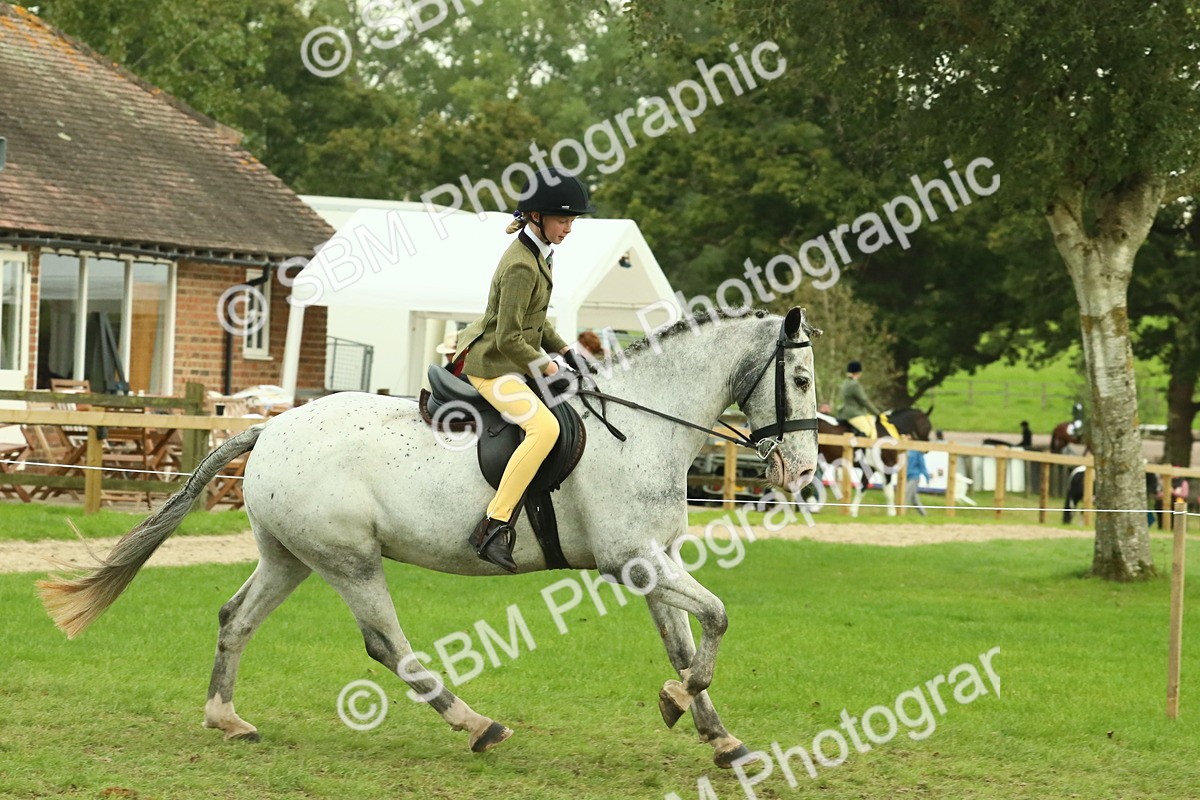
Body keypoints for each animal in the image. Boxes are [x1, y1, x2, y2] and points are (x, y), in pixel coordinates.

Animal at [37, 307, 821, 770]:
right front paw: (676, 703)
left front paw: (715, 732)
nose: (806, 471)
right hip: (350, 561)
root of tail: (271, 429)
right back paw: (477, 725)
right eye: (804, 378)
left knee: (236, 618)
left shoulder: (650, 562)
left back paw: (226, 718)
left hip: (290, 558)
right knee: (388, 646)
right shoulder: (635, 559)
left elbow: (686, 643)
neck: (642, 423)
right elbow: (717, 617)